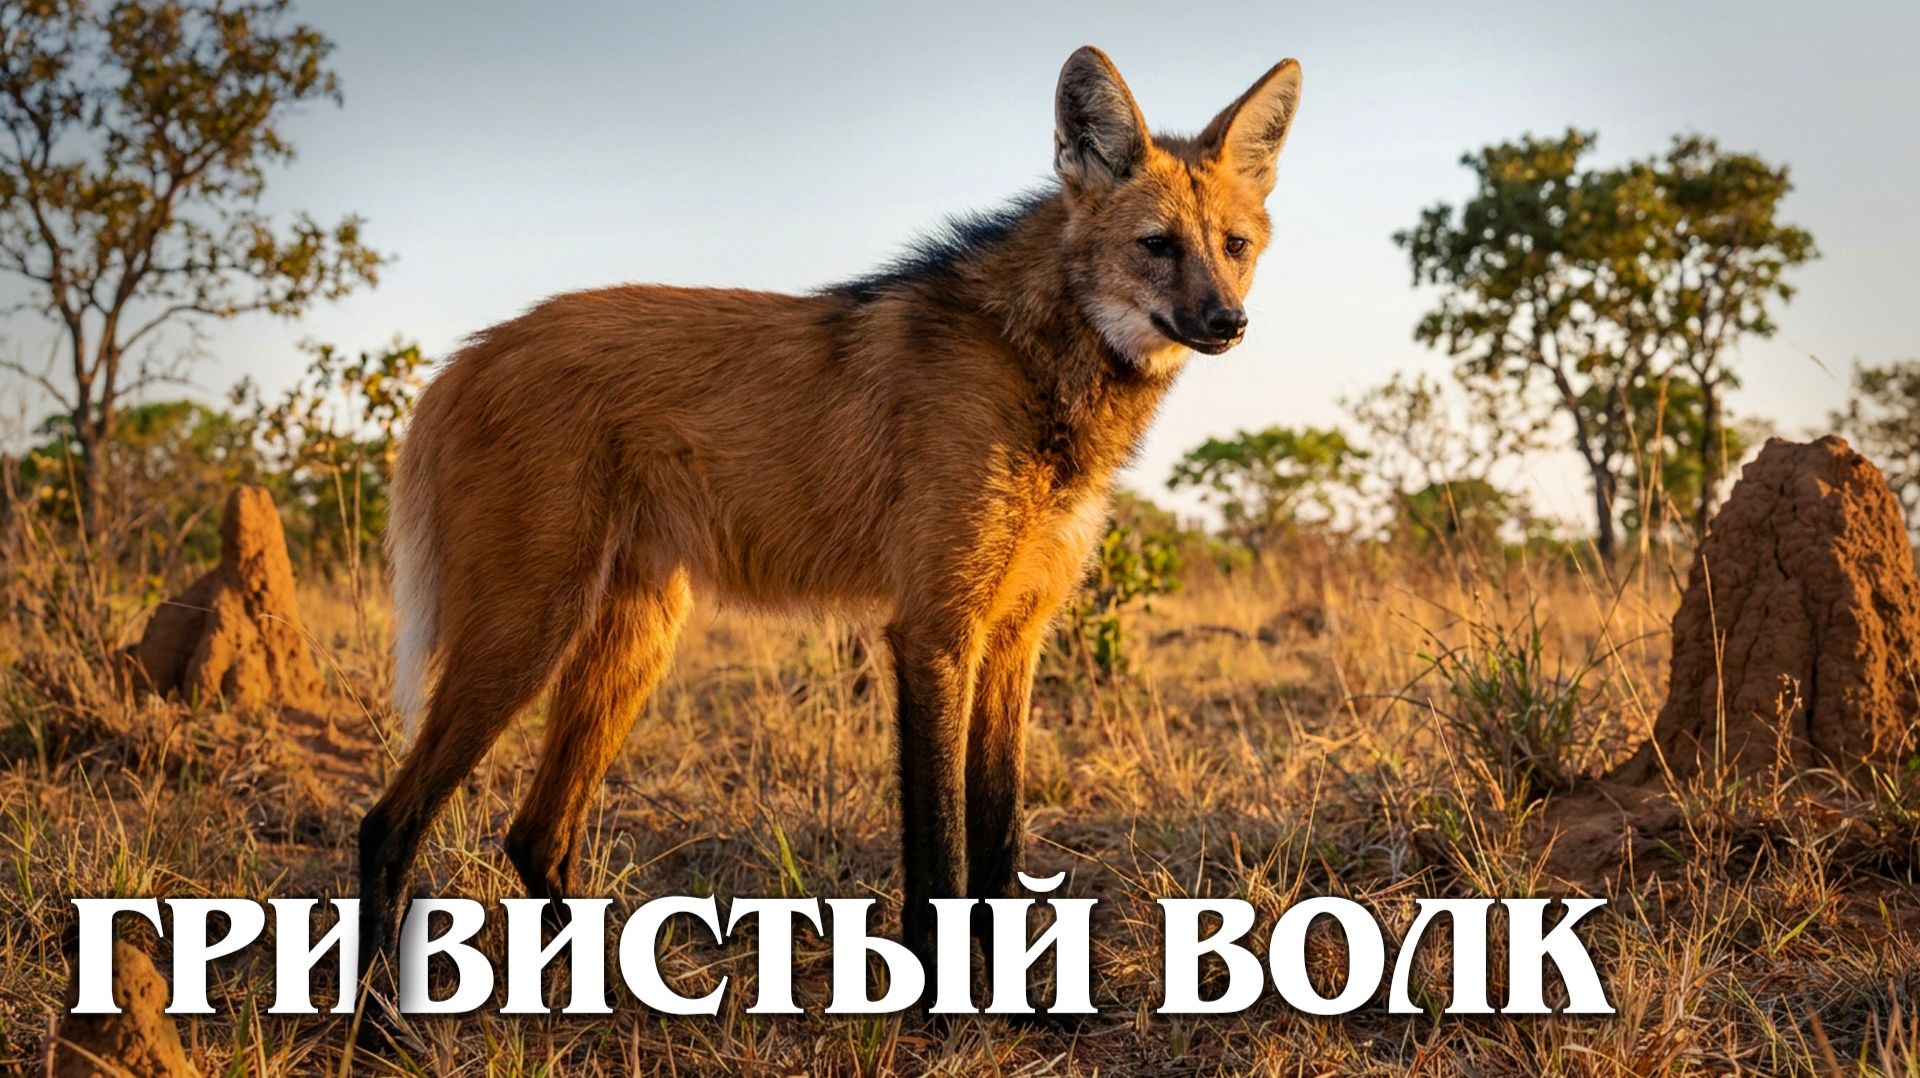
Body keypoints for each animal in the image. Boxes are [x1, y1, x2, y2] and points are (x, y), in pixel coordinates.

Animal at [358, 45, 1304, 986]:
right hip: (528, 628)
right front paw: (941, 1006)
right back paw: (377, 1014)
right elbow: (941, 855)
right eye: (1157, 246)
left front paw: (1026, 1000)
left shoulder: (1014, 634)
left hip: (638, 634)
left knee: (538, 834)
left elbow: (998, 841)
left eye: (1234, 246)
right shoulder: (934, 629)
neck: (1035, 365)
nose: (1228, 322)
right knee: (389, 822)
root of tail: (466, 356)